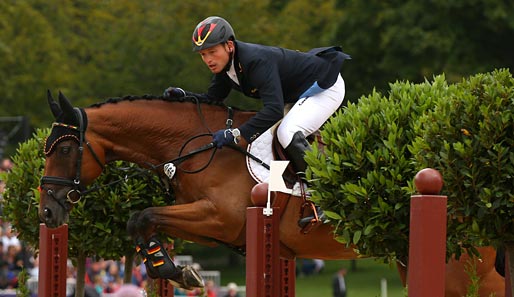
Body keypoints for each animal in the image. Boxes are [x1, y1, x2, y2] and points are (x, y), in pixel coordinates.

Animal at [40, 91, 504, 294]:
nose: (46, 212)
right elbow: (142, 221)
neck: (197, 145)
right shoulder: (214, 226)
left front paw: (175, 270)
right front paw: (170, 268)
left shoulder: (221, 217)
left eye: (63, 149)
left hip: (466, 272)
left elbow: (143, 215)